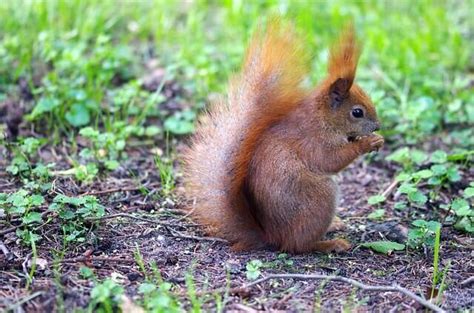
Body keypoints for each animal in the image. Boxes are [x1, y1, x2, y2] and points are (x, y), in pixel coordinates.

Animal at [183, 20, 384, 252]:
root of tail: (272, 236)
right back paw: (329, 243)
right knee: (299, 245)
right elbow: (330, 160)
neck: (323, 117)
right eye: (357, 112)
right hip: (320, 199)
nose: (378, 127)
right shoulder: (313, 140)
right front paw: (367, 143)